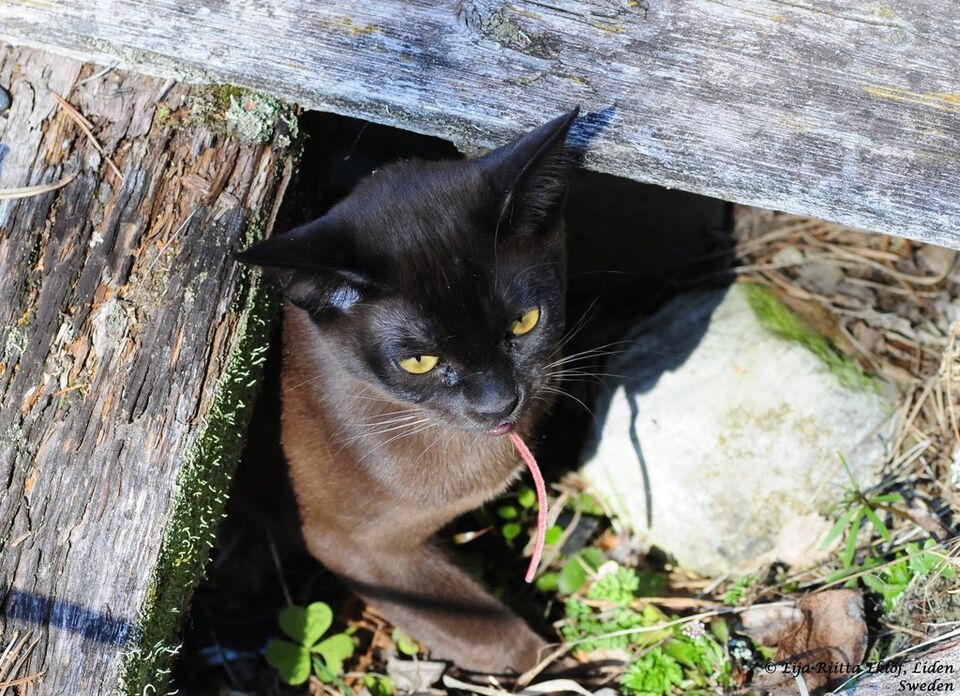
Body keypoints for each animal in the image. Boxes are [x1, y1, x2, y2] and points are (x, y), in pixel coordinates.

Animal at [236, 108, 579, 674]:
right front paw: (558, 664)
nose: (498, 403)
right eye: (419, 362)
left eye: (525, 322)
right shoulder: (355, 545)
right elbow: (481, 627)